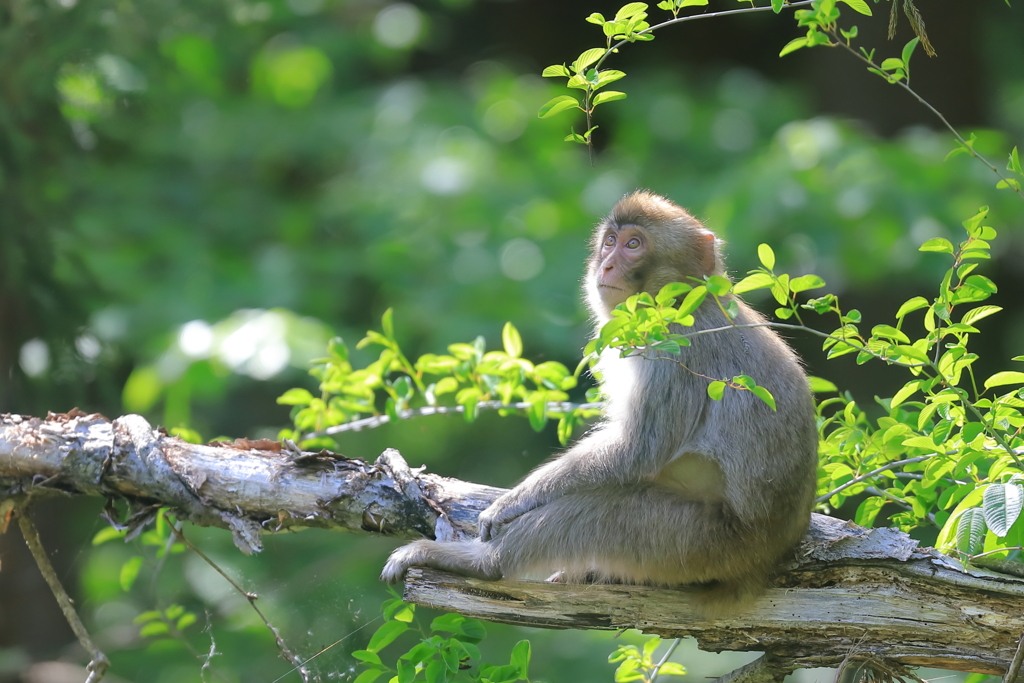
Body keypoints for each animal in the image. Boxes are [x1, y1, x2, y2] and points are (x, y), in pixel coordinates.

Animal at [380, 189, 819, 618]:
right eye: (610, 241)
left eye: (634, 244)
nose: (605, 266)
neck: (682, 301)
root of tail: (763, 560)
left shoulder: (674, 347)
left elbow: (635, 450)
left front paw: (511, 503)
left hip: (697, 542)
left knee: (598, 510)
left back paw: (482, 563)